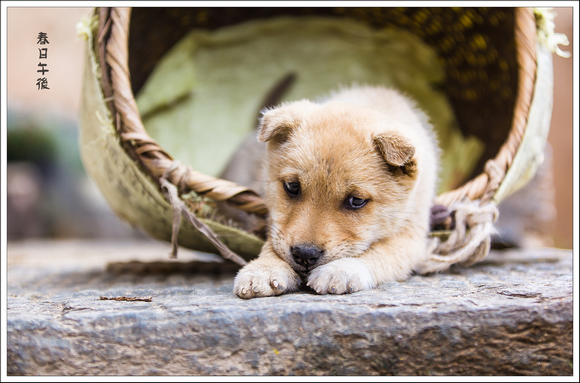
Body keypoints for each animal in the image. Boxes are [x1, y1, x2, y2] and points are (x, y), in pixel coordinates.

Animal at [231, 85, 440, 298]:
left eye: (356, 201)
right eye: (292, 186)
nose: (305, 255)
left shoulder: (412, 235)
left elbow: (382, 251)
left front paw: (341, 270)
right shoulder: (275, 222)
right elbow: (272, 245)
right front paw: (264, 269)